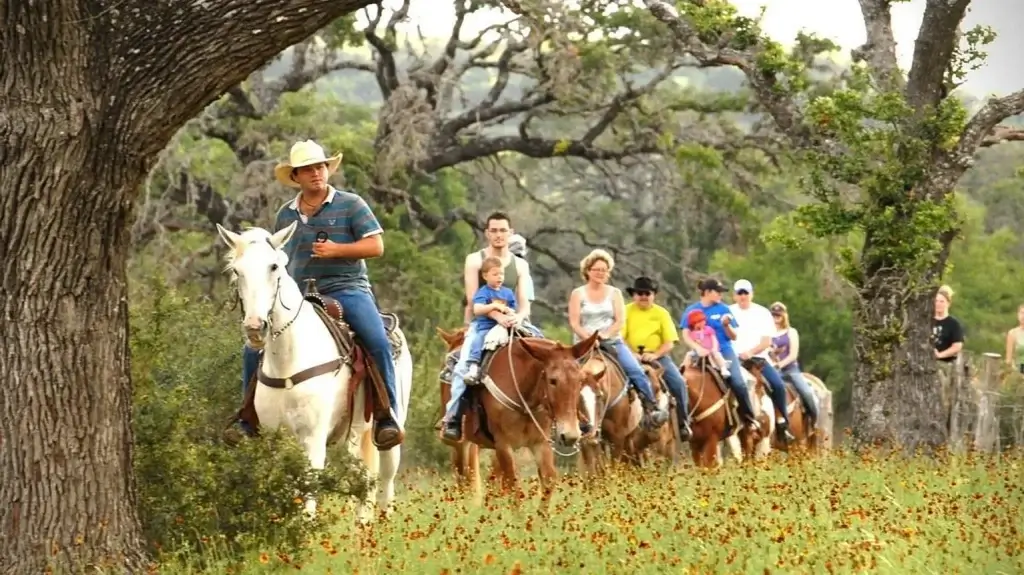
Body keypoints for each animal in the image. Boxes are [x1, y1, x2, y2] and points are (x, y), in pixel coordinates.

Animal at [216, 222, 411, 521]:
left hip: (388, 431)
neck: (288, 361)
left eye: (274, 266)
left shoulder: (313, 437)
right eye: (237, 270)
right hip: (353, 437)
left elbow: (308, 492)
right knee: (362, 482)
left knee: (385, 483)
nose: (255, 328)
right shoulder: (275, 439)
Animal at [456, 331, 598, 497]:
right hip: (463, 444)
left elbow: (548, 480)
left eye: (580, 380)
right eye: (552, 380)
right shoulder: (503, 444)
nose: (570, 435)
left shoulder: (540, 442)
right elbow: (514, 485)